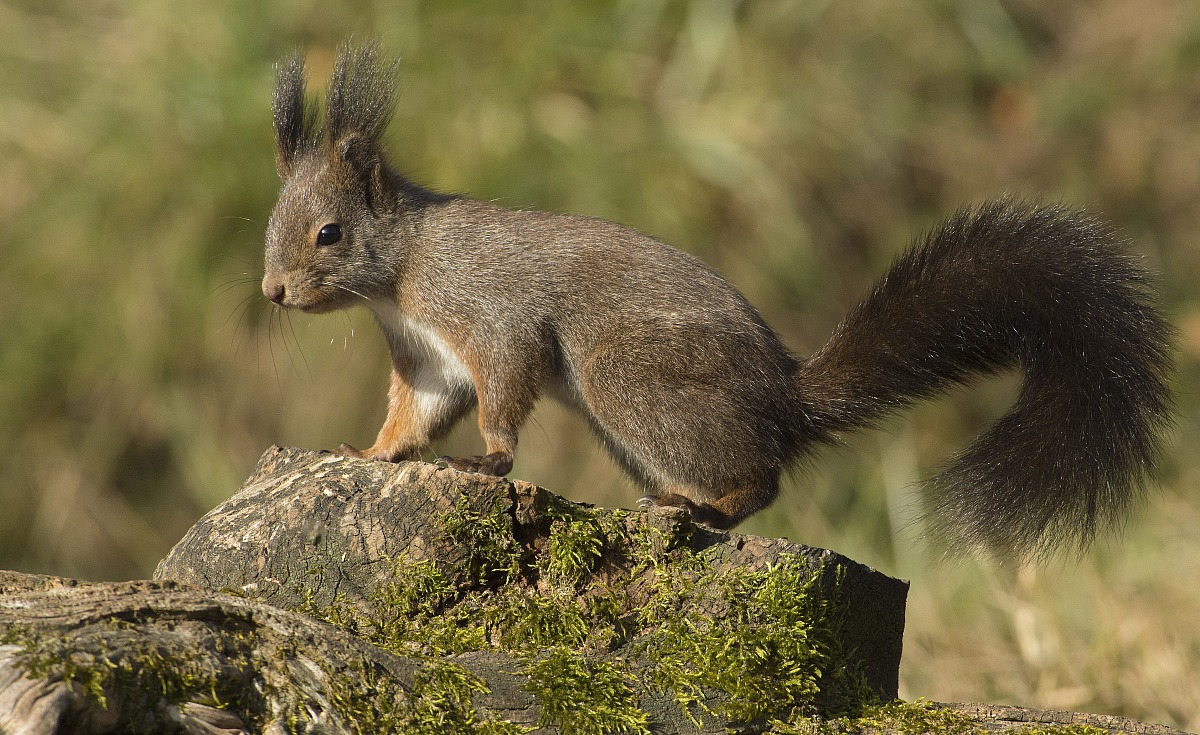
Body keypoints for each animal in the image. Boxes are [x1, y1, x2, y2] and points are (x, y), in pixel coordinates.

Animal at [261, 43, 1174, 558]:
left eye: (329, 234)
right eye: (274, 221)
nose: (272, 291)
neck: (404, 273)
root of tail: (786, 399)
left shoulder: (494, 314)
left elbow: (505, 392)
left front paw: (486, 459)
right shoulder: (428, 359)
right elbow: (413, 414)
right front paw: (369, 452)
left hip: (627, 378)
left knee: (762, 478)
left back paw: (707, 505)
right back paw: (685, 502)